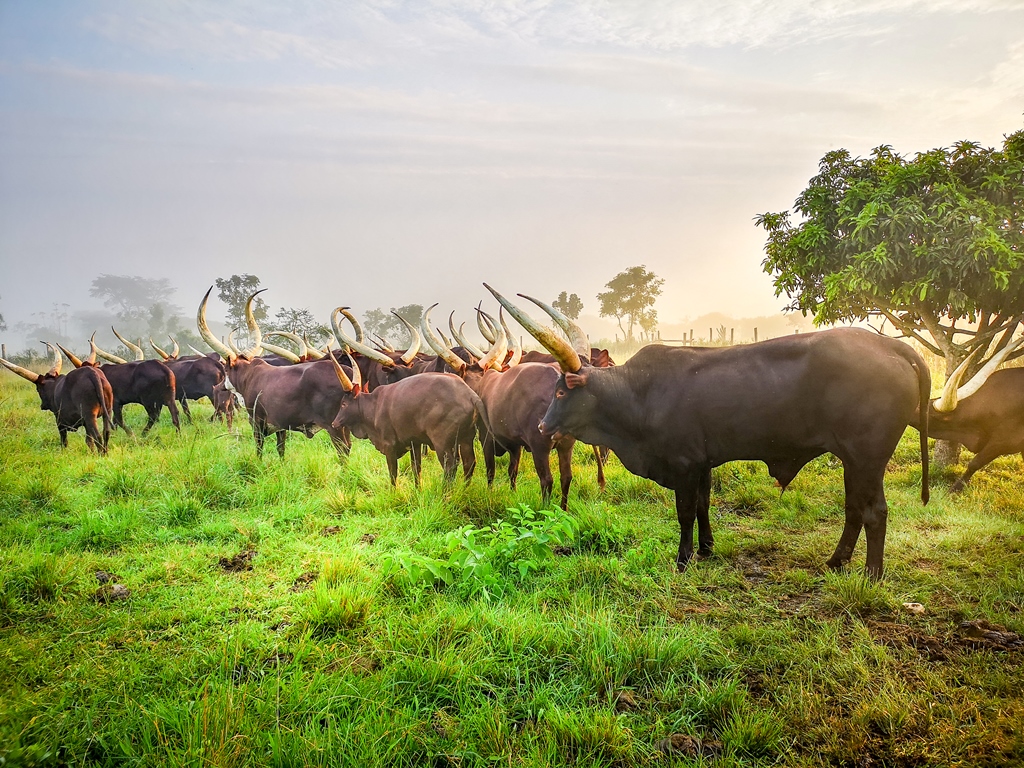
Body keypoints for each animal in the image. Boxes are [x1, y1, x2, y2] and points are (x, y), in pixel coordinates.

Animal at [328, 351, 485, 487]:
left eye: (343, 404)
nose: (334, 423)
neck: (373, 406)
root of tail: (471, 395)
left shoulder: (389, 446)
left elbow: (393, 474)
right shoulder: (415, 443)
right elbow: (416, 469)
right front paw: (418, 490)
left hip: (443, 444)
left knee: (450, 466)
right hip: (466, 439)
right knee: (469, 463)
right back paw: (464, 489)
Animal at [486, 284, 931, 578]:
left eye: (562, 390)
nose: (543, 425)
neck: (637, 394)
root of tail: (893, 347)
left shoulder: (684, 464)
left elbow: (685, 513)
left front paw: (683, 559)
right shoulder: (703, 464)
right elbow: (702, 506)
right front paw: (707, 548)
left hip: (867, 457)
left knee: (875, 512)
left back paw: (872, 575)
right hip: (853, 460)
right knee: (855, 507)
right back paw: (837, 561)